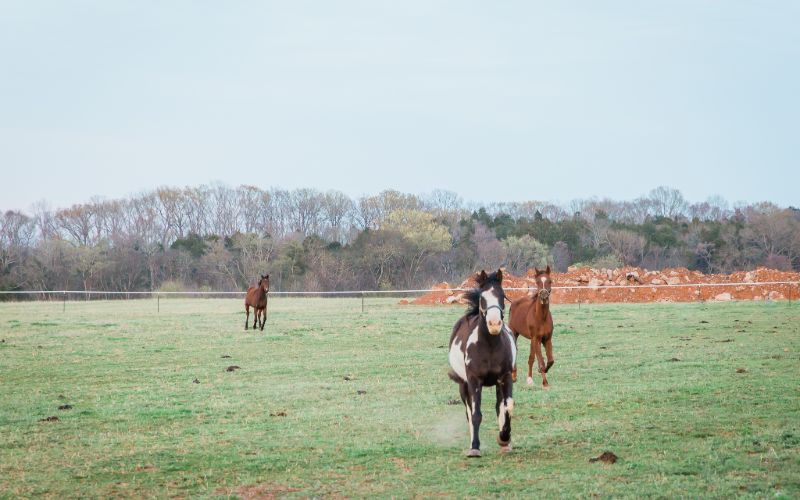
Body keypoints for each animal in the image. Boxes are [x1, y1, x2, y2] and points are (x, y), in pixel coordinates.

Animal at [446, 270, 516, 458]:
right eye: (483, 298)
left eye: (502, 295)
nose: (494, 324)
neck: (489, 346)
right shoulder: (474, 380)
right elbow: (475, 414)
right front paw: (475, 447)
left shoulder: (505, 378)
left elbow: (507, 408)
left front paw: (504, 438)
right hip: (463, 386)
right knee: (469, 413)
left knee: (499, 407)